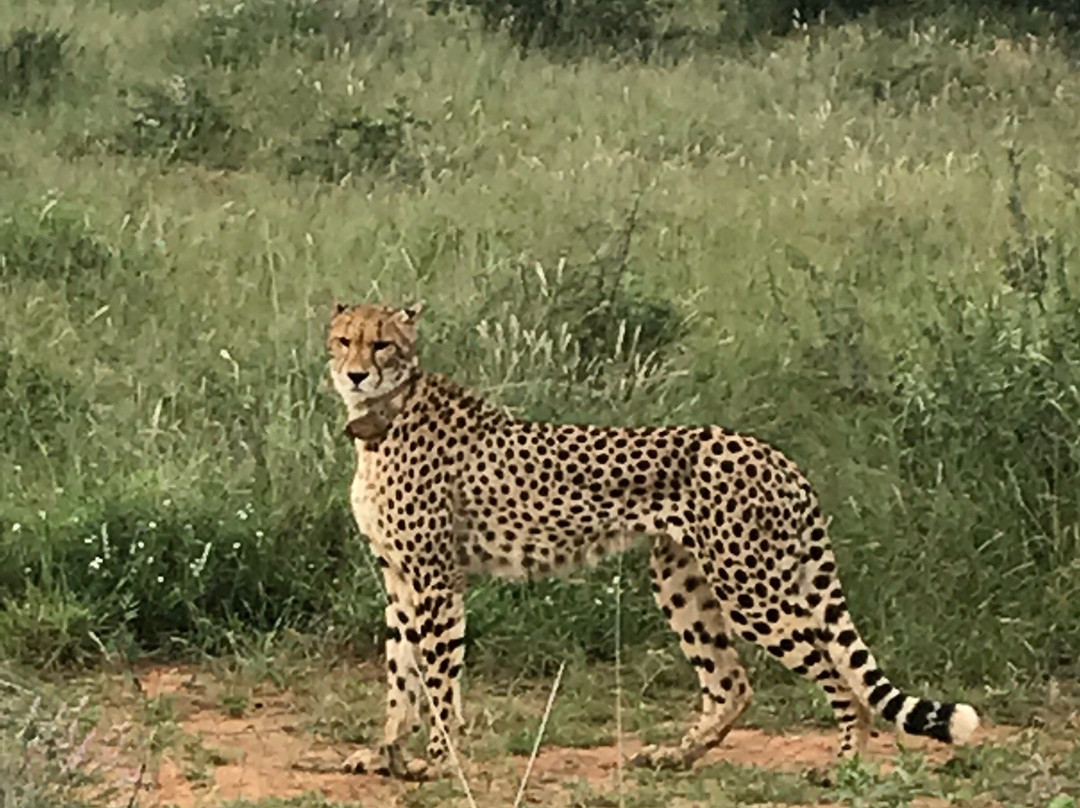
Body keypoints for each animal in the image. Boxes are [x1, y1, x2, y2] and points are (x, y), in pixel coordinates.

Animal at [328, 300, 980, 777]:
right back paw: (675, 755)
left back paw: (845, 762)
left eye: (382, 343)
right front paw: (385, 753)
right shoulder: (399, 578)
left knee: (836, 676)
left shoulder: (435, 579)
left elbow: (437, 675)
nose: (356, 373)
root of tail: (775, 455)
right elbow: (401, 673)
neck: (385, 413)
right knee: (731, 683)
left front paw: (438, 761)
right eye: (343, 340)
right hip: (683, 580)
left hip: (752, 589)